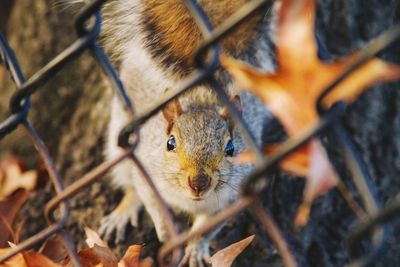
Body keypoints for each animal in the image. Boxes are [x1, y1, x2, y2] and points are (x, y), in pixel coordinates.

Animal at [69, 0, 276, 266]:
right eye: (170, 143)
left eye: (231, 149)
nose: (198, 183)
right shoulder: (147, 169)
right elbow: (151, 201)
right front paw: (168, 235)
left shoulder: (233, 196)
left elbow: (208, 227)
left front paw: (195, 248)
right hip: (118, 143)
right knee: (129, 181)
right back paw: (122, 212)